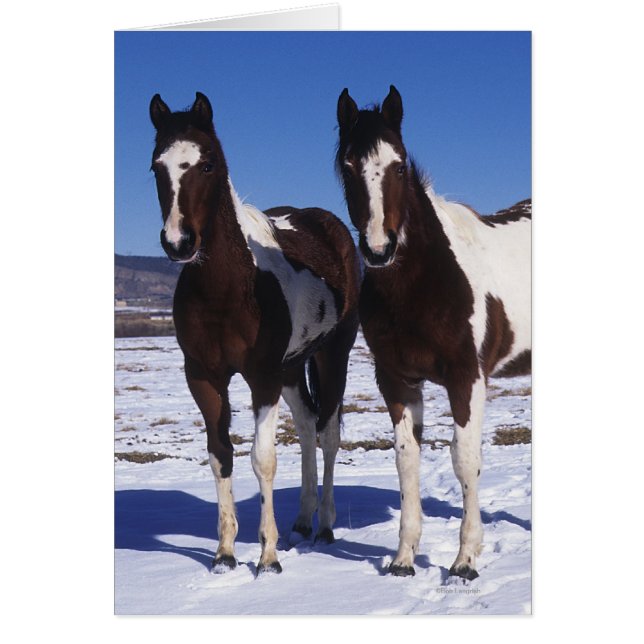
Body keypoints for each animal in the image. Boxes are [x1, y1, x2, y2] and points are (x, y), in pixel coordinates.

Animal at [149, 92, 360, 575]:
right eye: (156, 167)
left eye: (207, 163)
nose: (178, 242)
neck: (230, 287)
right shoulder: (204, 378)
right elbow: (220, 455)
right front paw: (225, 553)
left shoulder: (262, 377)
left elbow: (263, 459)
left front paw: (267, 557)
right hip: (293, 367)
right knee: (306, 425)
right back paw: (301, 521)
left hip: (331, 355)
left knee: (327, 434)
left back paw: (324, 526)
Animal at [336, 85, 531, 580]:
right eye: (347, 165)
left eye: (400, 164)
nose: (379, 249)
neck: (425, 280)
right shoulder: (397, 380)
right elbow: (407, 461)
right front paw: (403, 559)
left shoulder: (468, 378)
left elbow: (465, 460)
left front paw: (465, 561)